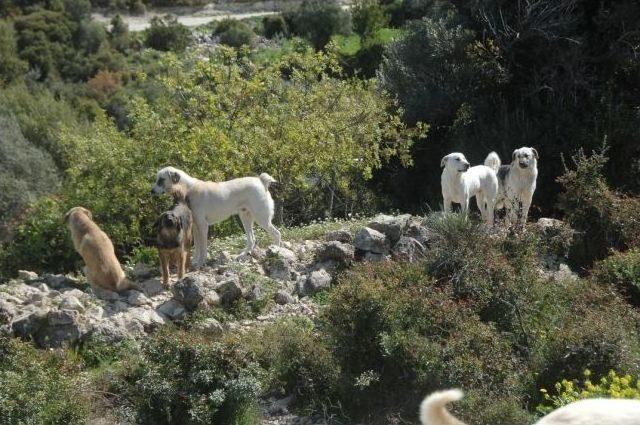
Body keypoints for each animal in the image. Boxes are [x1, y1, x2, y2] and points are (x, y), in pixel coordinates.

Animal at [151, 167, 282, 266]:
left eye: (161, 180)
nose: (151, 191)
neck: (188, 189)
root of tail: (261, 181)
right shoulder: (195, 227)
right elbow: (197, 246)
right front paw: (195, 261)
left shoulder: (203, 226)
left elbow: (203, 247)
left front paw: (201, 263)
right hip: (245, 218)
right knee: (252, 239)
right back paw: (243, 255)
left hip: (262, 219)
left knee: (276, 233)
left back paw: (276, 251)